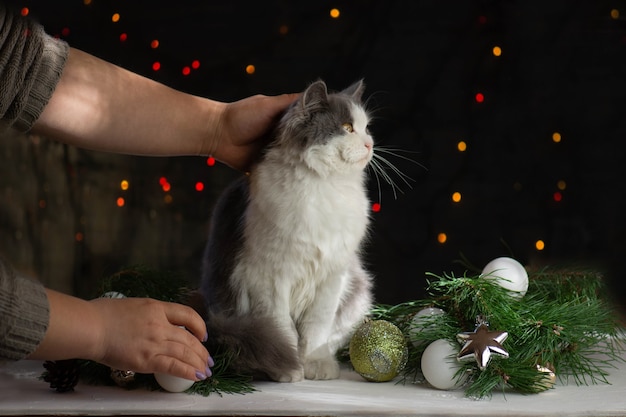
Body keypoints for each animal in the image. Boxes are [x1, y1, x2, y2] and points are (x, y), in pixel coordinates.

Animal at [200, 79, 372, 382]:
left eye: (366, 128)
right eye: (347, 127)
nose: (370, 144)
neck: (324, 184)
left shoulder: (332, 276)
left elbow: (317, 328)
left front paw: (315, 365)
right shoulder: (268, 277)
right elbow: (282, 329)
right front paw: (290, 370)